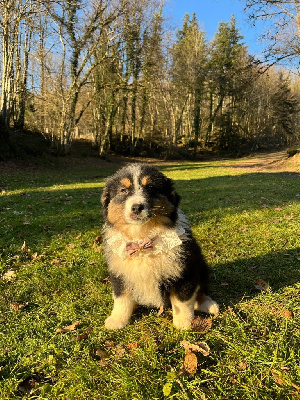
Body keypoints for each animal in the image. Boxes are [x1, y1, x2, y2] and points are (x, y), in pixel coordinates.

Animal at [101, 162, 218, 328]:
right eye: (123, 190)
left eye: (150, 188)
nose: (137, 207)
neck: (142, 237)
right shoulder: (120, 272)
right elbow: (121, 298)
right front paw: (116, 319)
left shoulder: (184, 270)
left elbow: (182, 300)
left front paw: (183, 322)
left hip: (200, 265)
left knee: (201, 289)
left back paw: (209, 305)